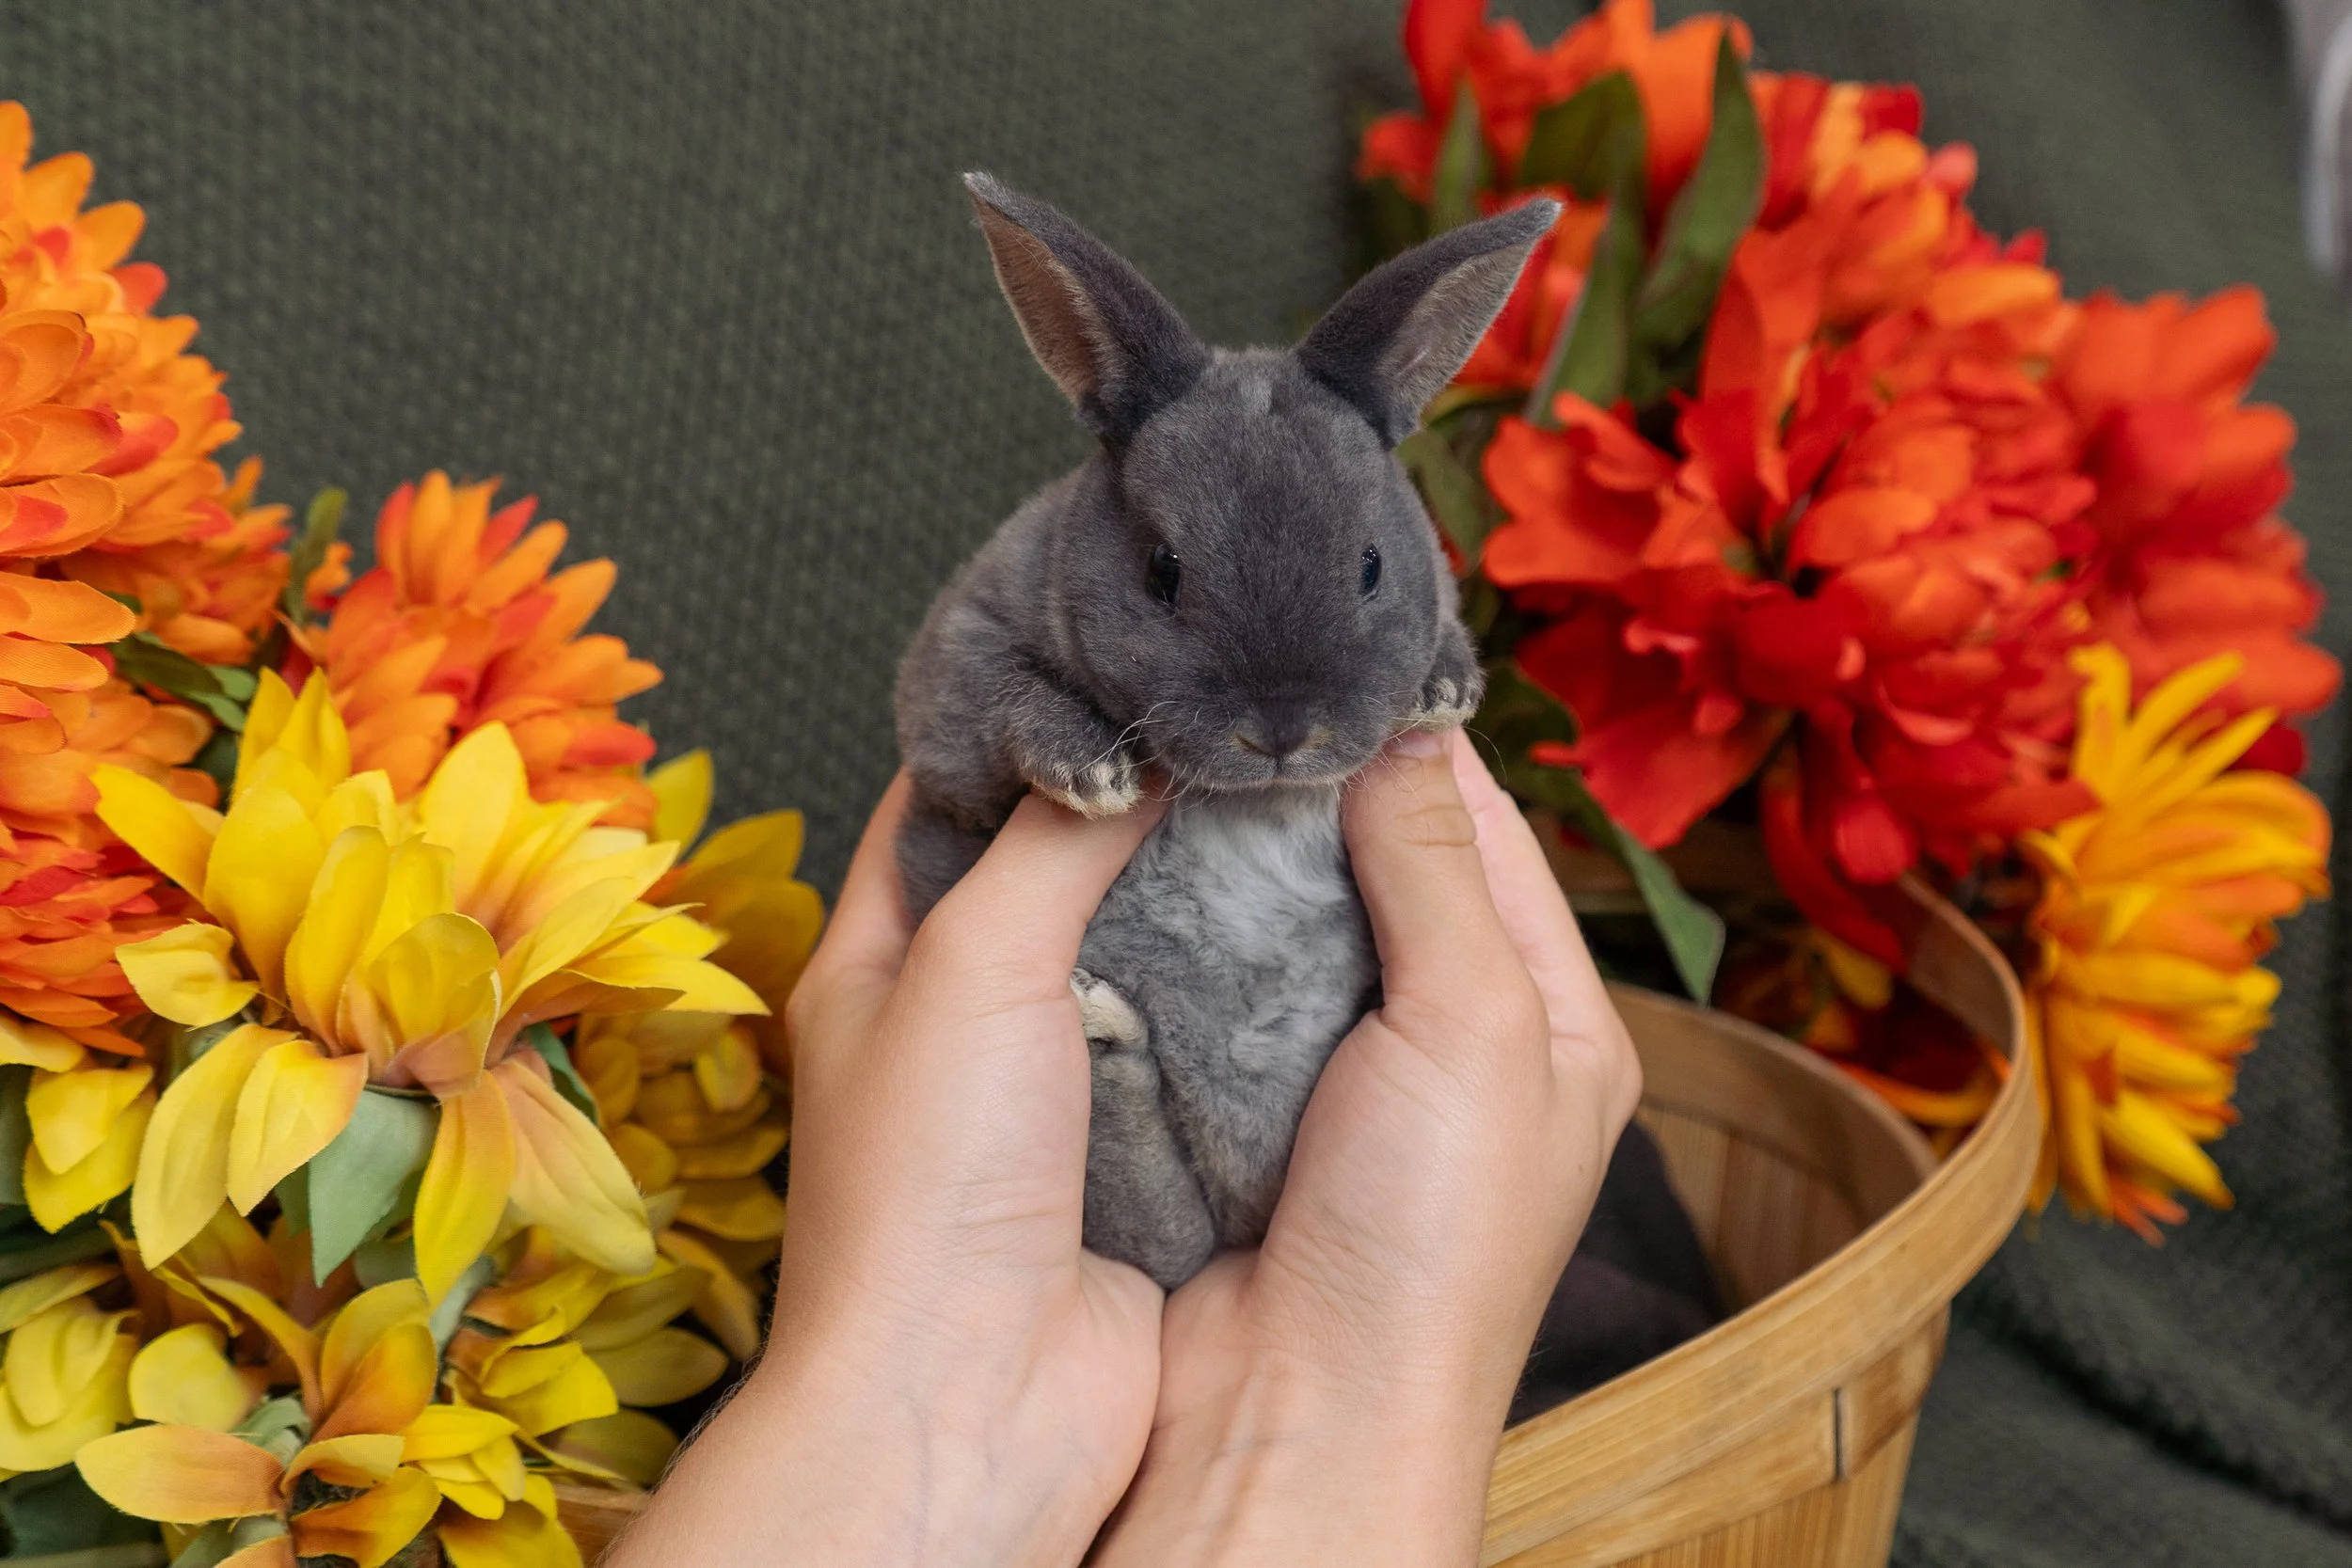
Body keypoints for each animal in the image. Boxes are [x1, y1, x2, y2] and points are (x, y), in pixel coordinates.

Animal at [894, 173, 1559, 1289]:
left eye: (1372, 564)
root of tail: (1245, 1212)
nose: (1282, 729)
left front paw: (1443, 687)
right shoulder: (956, 678)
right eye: (1162, 570)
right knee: (1160, 1231)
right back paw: (1104, 1033)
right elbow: (1003, 704)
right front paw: (1095, 772)